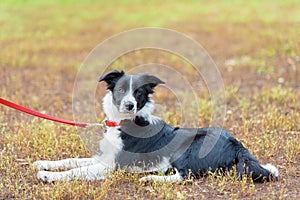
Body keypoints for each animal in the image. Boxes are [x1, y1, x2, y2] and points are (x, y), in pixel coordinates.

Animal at [33, 70, 278, 183]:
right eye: (120, 90)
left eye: (139, 92)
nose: (129, 105)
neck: (122, 122)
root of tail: (238, 146)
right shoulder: (104, 157)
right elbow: (70, 160)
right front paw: (44, 164)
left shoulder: (110, 166)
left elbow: (76, 170)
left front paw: (48, 176)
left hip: (188, 149)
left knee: (184, 176)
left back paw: (151, 179)